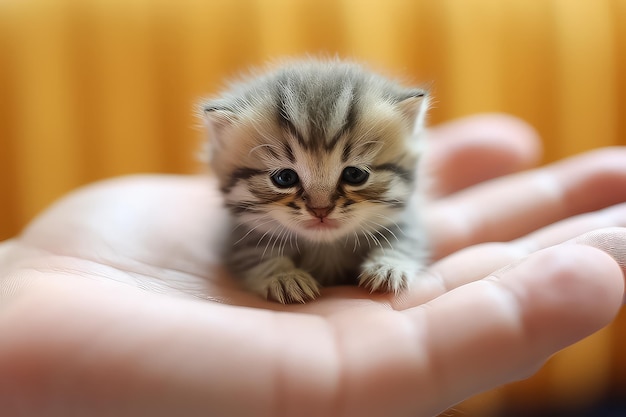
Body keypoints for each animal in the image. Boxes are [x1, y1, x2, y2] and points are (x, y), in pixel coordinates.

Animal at [200, 58, 428, 304]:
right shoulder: (240, 236)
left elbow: (406, 241)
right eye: (285, 178)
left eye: (355, 175)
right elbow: (254, 255)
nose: (321, 210)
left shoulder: (407, 221)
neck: (326, 247)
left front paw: (387, 266)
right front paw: (285, 277)